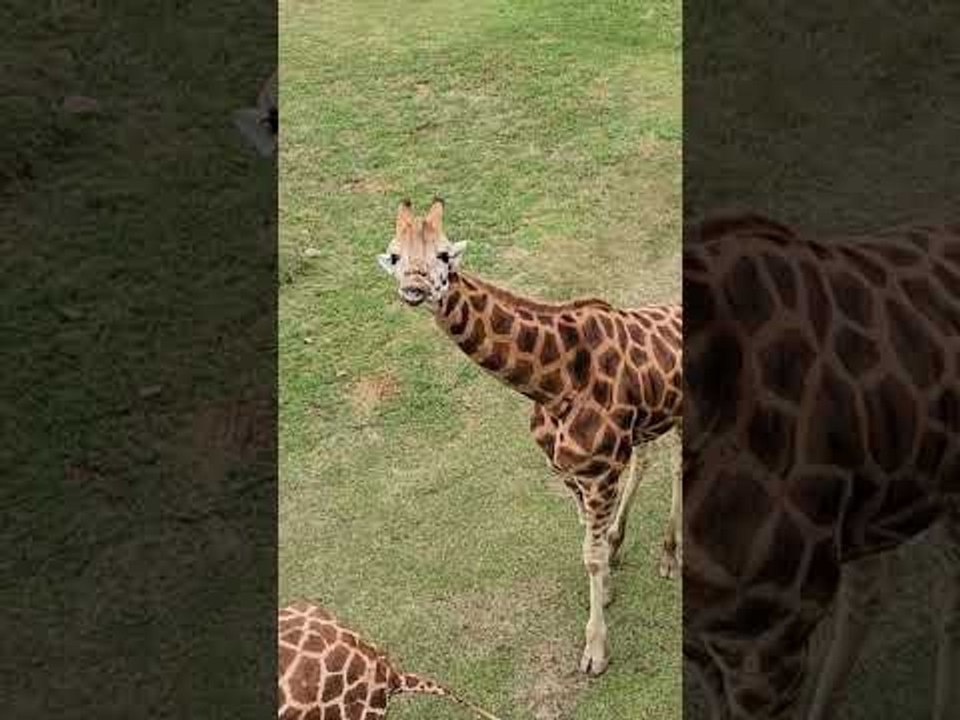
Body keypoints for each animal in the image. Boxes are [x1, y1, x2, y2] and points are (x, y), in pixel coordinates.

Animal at [377, 197, 683, 675]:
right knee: (654, 459)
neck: (553, 384)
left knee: (679, 465)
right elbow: (589, 539)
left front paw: (595, 651)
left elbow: (590, 555)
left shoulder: (600, 474)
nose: (414, 288)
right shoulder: (571, 470)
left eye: (444, 255)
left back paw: (669, 555)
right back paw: (629, 542)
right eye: (394, 256)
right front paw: (608, 585)